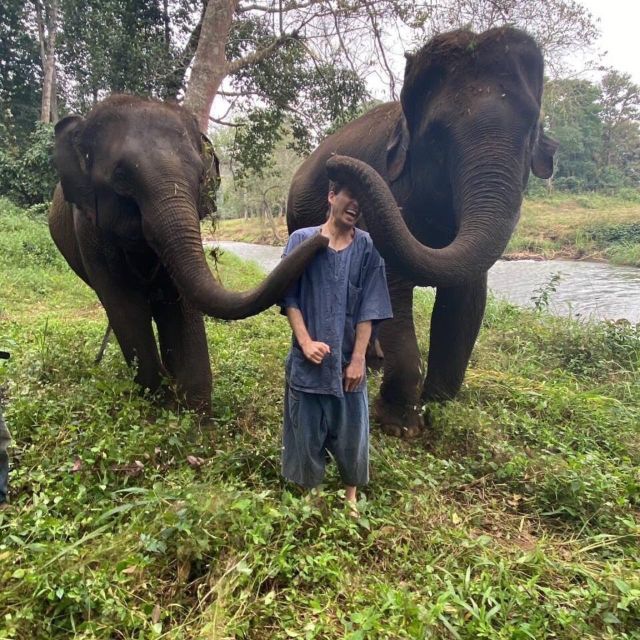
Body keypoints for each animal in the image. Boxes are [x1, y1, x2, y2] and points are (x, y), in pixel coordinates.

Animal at [49, 94, 328, 414]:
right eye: (120, 176)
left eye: (199, 178)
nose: (324, 236)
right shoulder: (89, 231)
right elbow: (125, 303)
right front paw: (158, 401)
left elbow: (180, 300)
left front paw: (192, 409)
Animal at [287, 27, 558, 438]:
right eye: (437, 136)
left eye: (531, 127)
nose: (336, 165)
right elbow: (392, 287)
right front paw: (400, 424)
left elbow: (465, 300)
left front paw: (438, 406)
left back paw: (372, 364)